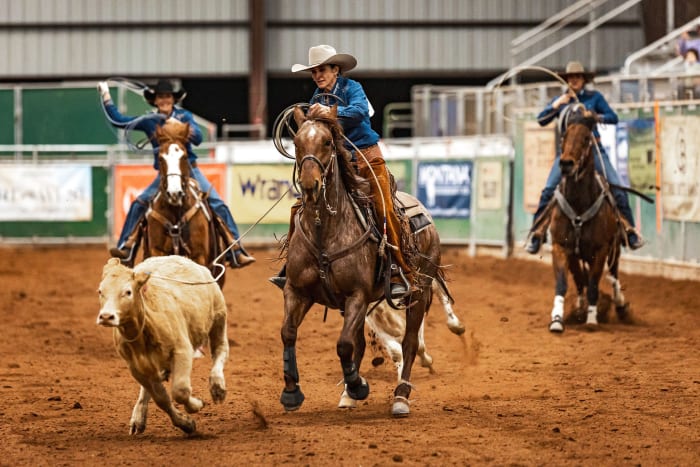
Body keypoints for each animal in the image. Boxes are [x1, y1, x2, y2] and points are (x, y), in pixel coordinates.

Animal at [276, 106, 446, 416]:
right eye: (296, 143)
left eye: (327, 142)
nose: (309, 185)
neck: (325, 232)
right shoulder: (297, 291)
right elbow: (288, 333)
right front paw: (292, 392)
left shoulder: (357, 294)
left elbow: (343, 344)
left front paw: (358, 385)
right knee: (362, 342)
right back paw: (348, 394)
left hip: (420, 290)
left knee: (409, 342)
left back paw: (400, 396)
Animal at [548, 110, 632, 332]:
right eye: (564, 136)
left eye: (586, 138)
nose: (566, 163)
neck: (579, 205)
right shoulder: (561, 247)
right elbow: (564, 284)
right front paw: (557, 319)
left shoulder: (600, 250)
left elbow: (594, 284)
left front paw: (592, 318)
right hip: (577, 256)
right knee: (579, 280)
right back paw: (579, 306)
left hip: (614, 249)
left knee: (614, 275)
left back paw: (620, 304)